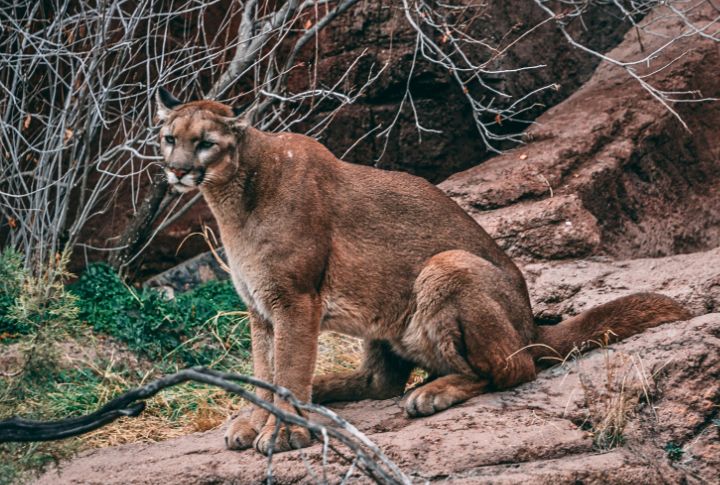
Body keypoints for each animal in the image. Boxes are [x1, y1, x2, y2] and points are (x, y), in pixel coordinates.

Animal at [154, 88, 690, 455]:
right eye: (168, 140)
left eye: (205, 143)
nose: (177, 170)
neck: (232, 197)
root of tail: (530, 323)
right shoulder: (260, 307)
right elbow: (264, 369)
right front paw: (253, 420)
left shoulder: (295, 300)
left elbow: (285, 369)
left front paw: (282, 429)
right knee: (382, 382)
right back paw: (327, 389)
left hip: (445, 265)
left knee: (512, 369)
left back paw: (432, 392)